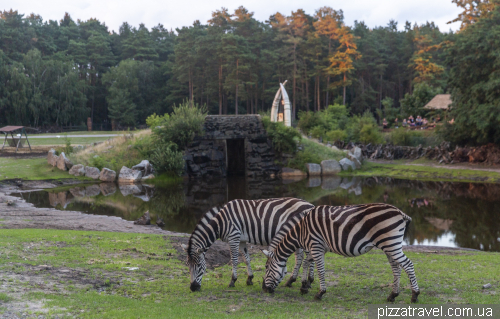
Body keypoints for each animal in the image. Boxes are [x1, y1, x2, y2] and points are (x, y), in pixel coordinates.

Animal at [182, 199, 314, 294]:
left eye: (199, 265)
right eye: (188, 265)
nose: (193, 288)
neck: (221, 222)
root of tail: (310, 204)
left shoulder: (234, 237)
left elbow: (234, 260)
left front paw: (232, 281)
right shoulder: (241, 240)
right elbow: (246, 259)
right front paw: (250, 279)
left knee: (307, 258)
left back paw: (307, 282)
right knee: (300, 257)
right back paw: (292, 281)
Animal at [264, 204, 420, 304]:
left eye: (266, 268)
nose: (264, 289)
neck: (301, 230)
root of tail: (400, 212)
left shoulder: (316, 245)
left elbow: (320, 270)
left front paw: (320, 293)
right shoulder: (315, 247)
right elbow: (307, 262)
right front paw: (304, 286)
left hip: (391, 243)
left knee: (408, 264)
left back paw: (414, 295)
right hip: (389, 245)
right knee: (396, 267)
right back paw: (392, 295)